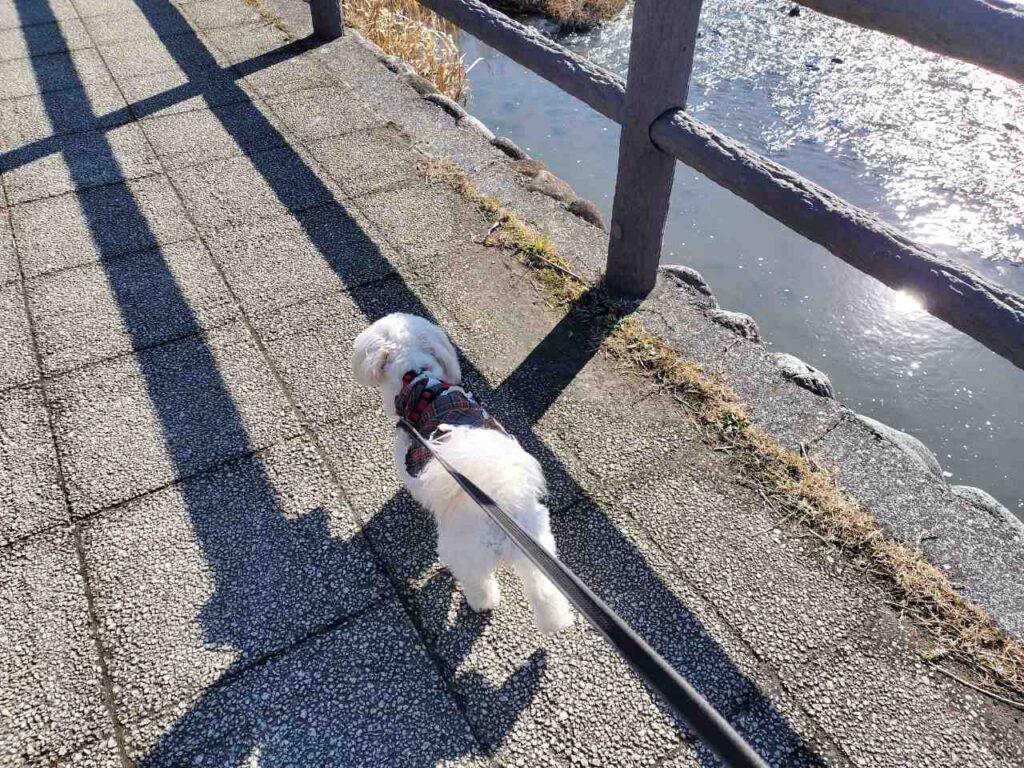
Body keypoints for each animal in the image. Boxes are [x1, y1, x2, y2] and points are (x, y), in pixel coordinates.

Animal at [351, 313, 574, 634]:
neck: (418, 378)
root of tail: (501, 513)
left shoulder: (409, 452)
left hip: (464, 551)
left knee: (478, 583)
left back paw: (481, 603)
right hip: (540, 548)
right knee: (544, 590)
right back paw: (556, 621)